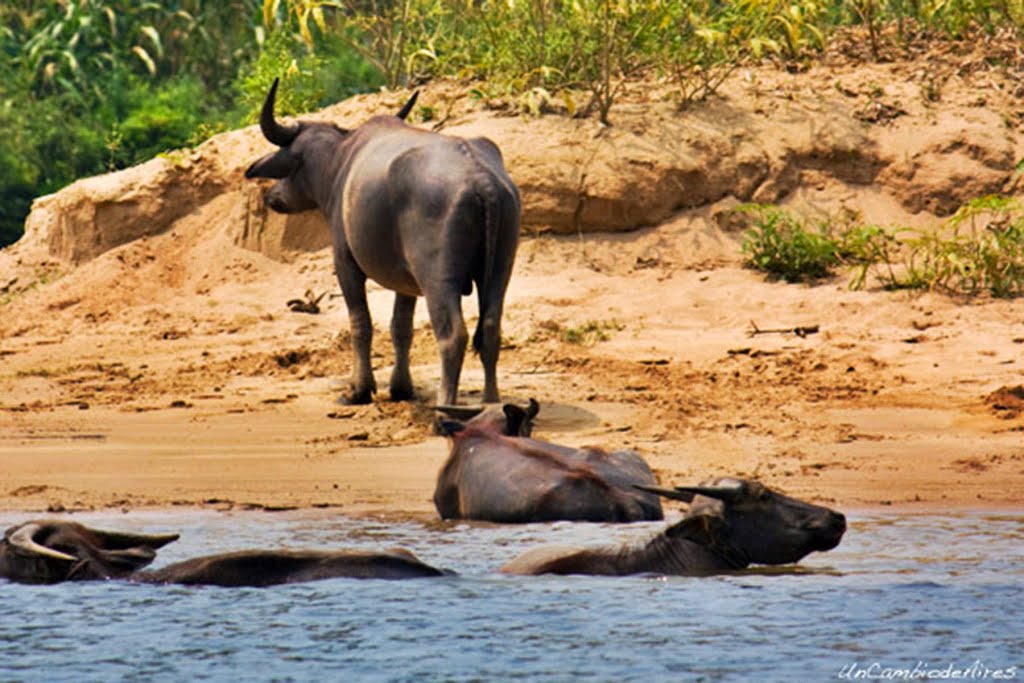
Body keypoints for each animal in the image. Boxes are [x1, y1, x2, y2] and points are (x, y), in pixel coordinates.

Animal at [244, 79, 520, 405]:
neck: (339, 164)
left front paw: (359, 389)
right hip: (500, 269)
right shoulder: (407, 281)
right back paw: (491, 402)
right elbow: (401, 326)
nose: (272, 196)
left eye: (289, 165)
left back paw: (445, 407)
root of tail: (481, 179)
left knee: (453, 335)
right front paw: (401, 387)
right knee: (490, 329)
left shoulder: (345, 263)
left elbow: (360, 323)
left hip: (438, 277)